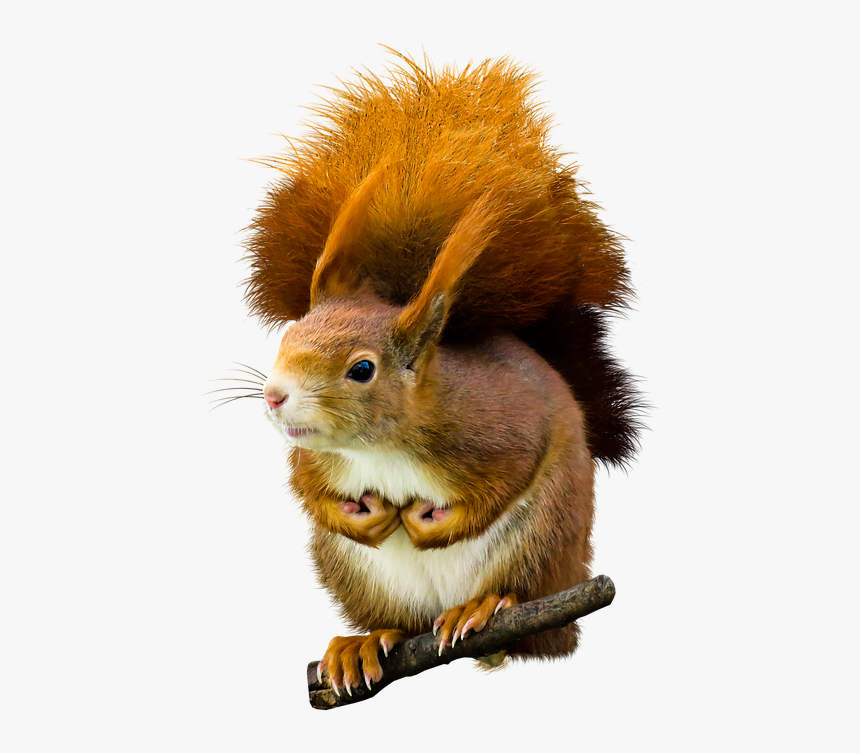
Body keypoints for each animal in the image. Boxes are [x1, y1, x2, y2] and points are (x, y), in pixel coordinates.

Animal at [242, 52, 642, 694]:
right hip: (356, 576)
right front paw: (364, 518)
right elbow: (307, 489)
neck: (379, 446)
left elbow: (505, 478)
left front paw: (429, 524)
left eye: (362, 369)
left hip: (541, 543)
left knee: (524, 614)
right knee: (399, 622)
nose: (275, 397)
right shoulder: (315, 458)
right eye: (288, 337)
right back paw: (366, 642)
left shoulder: (499, 429)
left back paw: (482, 610)